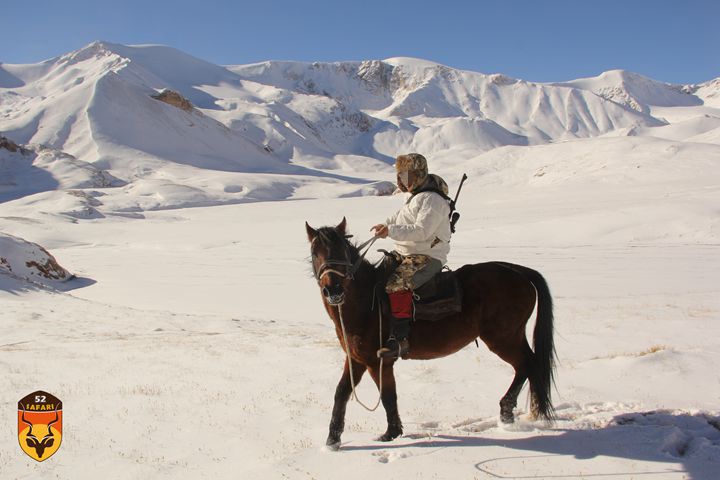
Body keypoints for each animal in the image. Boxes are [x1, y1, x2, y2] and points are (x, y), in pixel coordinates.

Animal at [304, 218, 556, 450]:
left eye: (343, 252)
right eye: (315, 253)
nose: (333, 290)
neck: (366, 304)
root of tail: (518, 272)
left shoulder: (379, 362)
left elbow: (387, 396)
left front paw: (391, 433)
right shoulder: (356, 359)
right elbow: (342, 393)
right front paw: (333, 440)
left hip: (503, 339)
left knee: (527, 364)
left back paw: (508, 410)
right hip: (512, 337)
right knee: (528, 365)